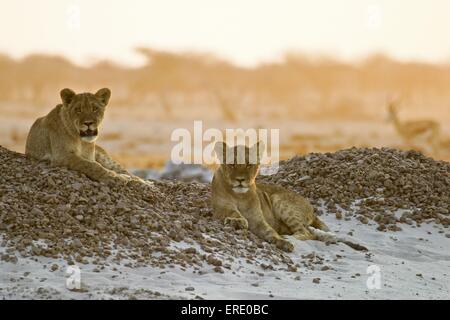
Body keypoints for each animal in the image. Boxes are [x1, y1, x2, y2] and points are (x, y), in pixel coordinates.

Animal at [213, 142, 368, 252]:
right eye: (232, 164)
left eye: (249, 164)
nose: (240, 180)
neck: (240, 196)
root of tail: (311, 208)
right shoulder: (221, 206)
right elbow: (232, 212)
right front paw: (237, 221)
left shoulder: (258, 219)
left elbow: (269, 231)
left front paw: (283, 242)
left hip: (280, 201)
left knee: (306, 233)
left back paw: (289, 238)